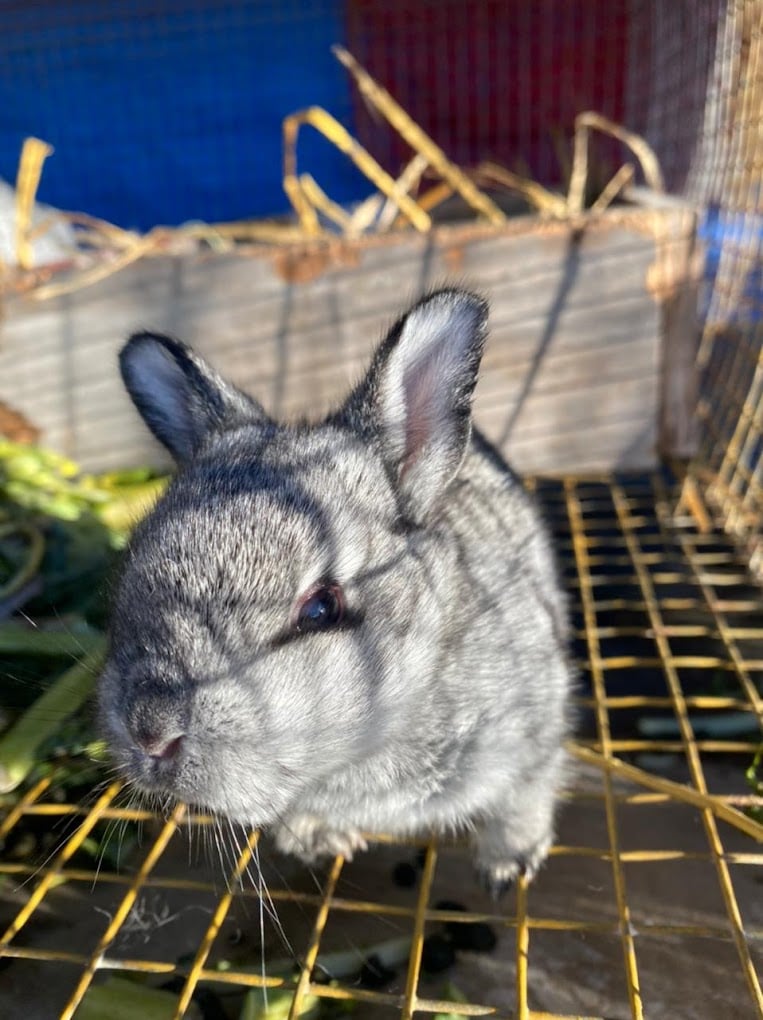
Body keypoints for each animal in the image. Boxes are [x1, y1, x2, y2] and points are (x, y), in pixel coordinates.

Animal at [98, 288, 573, 895]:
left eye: (322, 608)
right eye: (132, 563)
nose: (149, 733)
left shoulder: (536, 733)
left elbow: (526, 795)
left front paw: (508, 865)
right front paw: (319, 839)